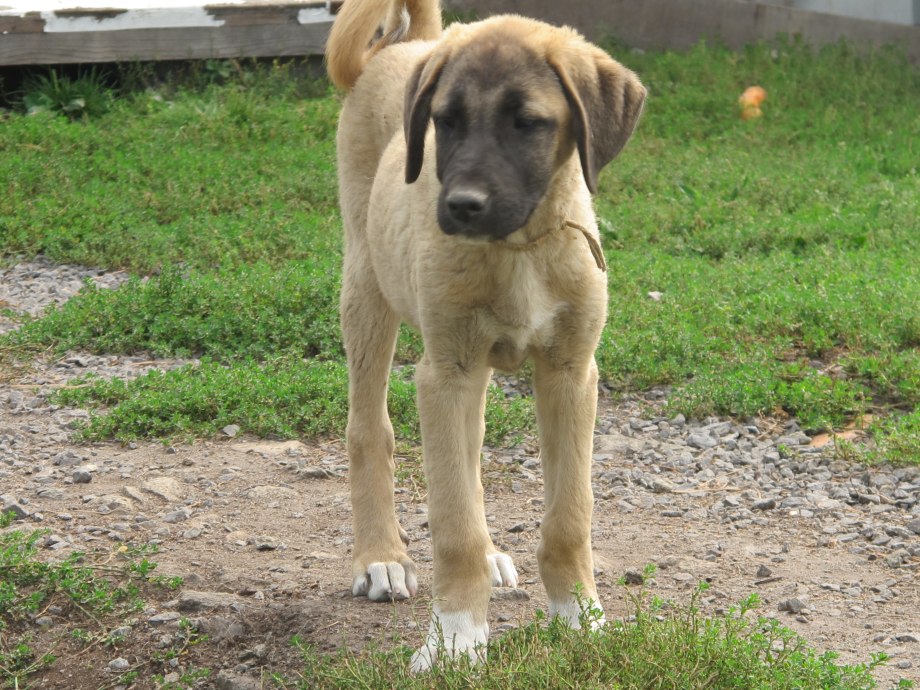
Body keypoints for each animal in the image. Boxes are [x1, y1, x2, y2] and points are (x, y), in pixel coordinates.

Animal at [328, 0, 644, 668]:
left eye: (527, 123)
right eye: (444, 122)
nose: (460, 205)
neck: (520, 246)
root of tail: (406, 47)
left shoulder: (570, 372)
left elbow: (569, 518)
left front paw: (581, 619)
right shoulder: (445, 373)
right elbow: (454, 526)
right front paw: (454, 638)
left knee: (467, 461)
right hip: (367, 289)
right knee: (370, 430)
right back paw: (381, 557)